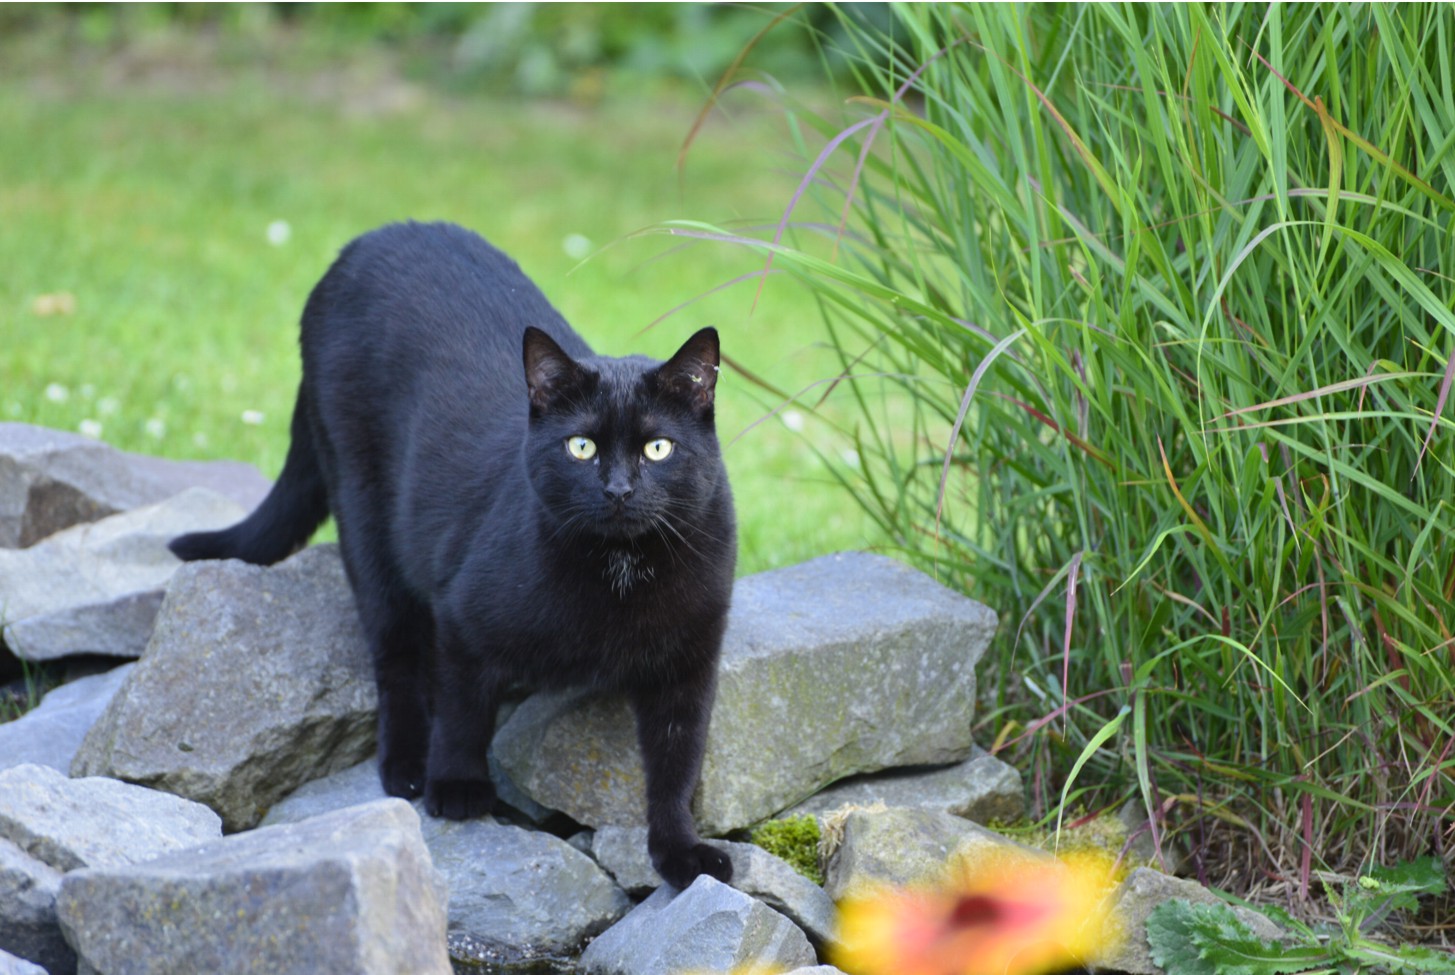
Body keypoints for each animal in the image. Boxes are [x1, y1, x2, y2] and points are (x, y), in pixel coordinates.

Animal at [173, 219, 739, 884]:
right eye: (581, 447)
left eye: (657, 448)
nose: (619, 490)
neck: (620, 572)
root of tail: (363, 243)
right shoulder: (461, 615)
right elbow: (463, 706)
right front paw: (457, 786)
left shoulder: (690, 660)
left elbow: (679, 762)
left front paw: (682, 852)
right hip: (363, 507)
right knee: (395, 651)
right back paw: (406, 767)